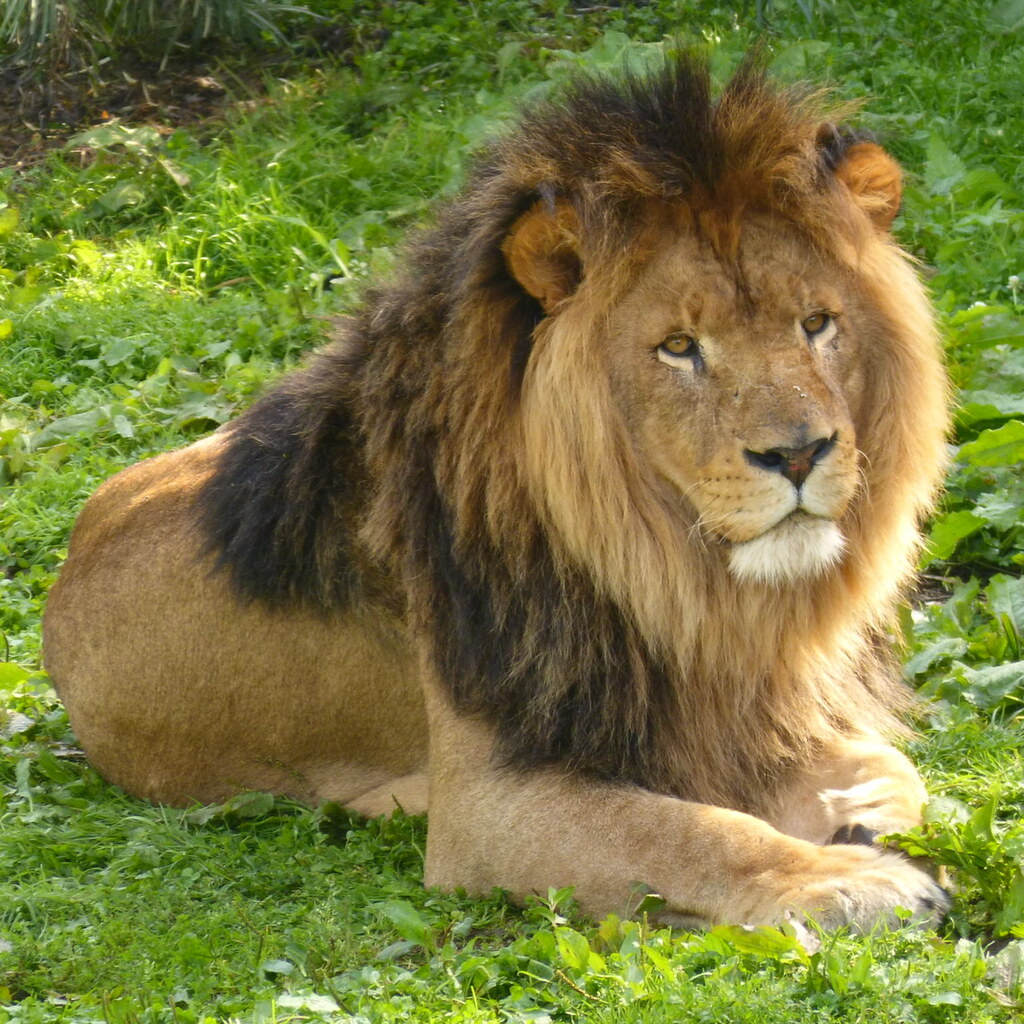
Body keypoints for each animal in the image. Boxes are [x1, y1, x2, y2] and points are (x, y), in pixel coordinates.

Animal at [43, 55, 951, 930]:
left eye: (816, 324)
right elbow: (689, 831)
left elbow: (893, 765)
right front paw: (845, 881)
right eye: (679, 346)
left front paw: (865, 823)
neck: (690, 596)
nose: (799, 454)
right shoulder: (486, 806)